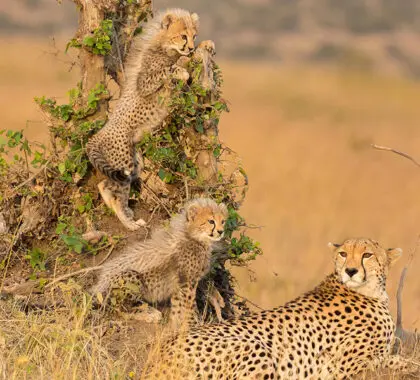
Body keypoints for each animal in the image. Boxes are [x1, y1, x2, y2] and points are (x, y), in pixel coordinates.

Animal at [149, 239, 418, 378]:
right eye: (343, 254)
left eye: (367, 255)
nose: (350, 271)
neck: (367, 290)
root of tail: (159, 357)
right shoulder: (344, 367)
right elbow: (394, 361)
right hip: (255, 348)